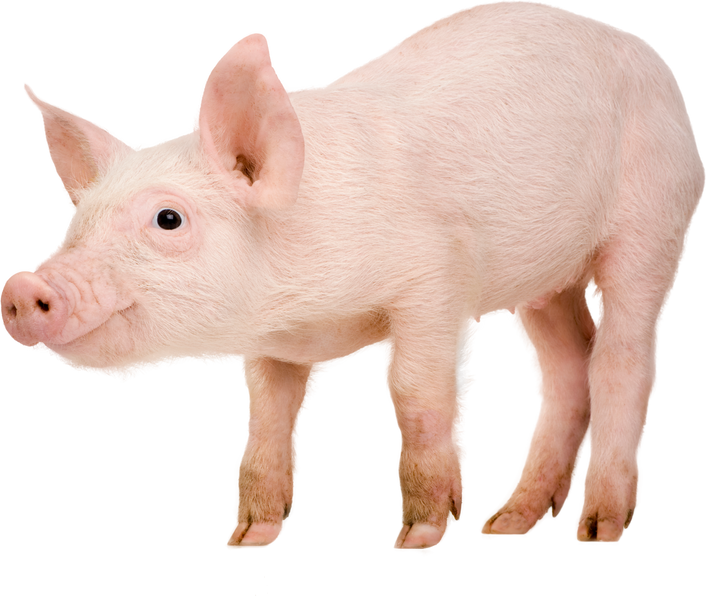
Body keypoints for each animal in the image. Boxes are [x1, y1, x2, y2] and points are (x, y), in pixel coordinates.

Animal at [2, 0, 704, 556]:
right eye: (75, 222)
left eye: (168, 218)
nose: (20, 285)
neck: (307, 315)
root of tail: (652, 58)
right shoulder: (271, 347)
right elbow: (266, 419)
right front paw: (247, 540)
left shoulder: (435, 282)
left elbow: (415, 396)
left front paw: (417, 541)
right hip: (540, 282)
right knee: (564, 371)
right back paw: (506, 526)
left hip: (656, 221)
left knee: (624, 363)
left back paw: (598, 532)